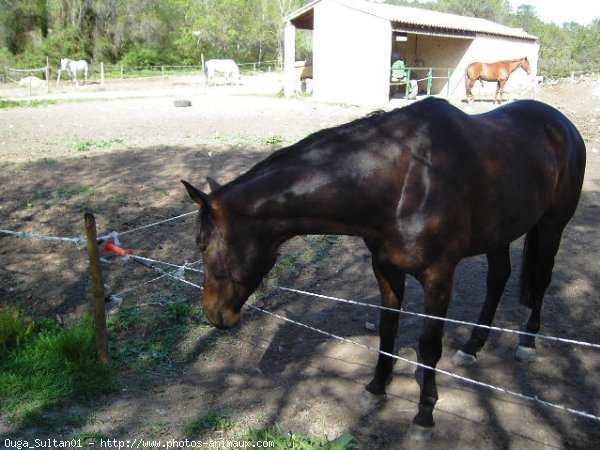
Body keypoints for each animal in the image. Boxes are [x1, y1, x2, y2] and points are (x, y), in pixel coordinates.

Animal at [183, 97, 584, 440]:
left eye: (202, 245)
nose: (213, 313)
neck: (403, 180)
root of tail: (561, 124)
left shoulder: (439, 277)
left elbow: (429, 346)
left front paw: (424, 415)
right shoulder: (385, 269)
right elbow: (387, 329)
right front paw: (376, 387)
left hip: (552, 226)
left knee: (542, 280)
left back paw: (527, 342)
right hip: (499, 232)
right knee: (498, 277)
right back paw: (472, 346)